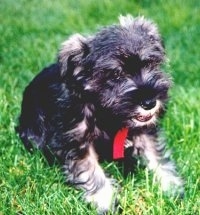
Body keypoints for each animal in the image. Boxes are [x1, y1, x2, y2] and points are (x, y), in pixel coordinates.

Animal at [16, 15, 184, 213]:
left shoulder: (145, 131)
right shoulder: (77, 141)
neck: (106, 114)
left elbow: (156, 156)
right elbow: (91, 170)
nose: (150, 102)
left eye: (150, 63)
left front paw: (171, 186)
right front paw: (105, 200)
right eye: (117, 74)